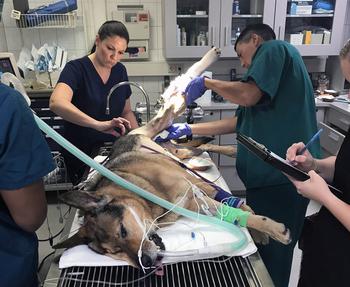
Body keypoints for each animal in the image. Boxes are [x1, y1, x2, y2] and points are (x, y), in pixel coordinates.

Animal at [54, 47, 292, 270]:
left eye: (122, 231)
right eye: (113, 251)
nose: (145, 262)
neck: (141, 193)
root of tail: (130, 134)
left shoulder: (197, 193)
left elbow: (243, 210)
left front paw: (270, 228)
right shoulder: (196, 202)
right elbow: (237, 210)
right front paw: (259, 228)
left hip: (167, 118)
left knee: (180, 88)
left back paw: (206, 66)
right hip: (179, 153)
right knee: (195, 147)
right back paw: (218, 152)